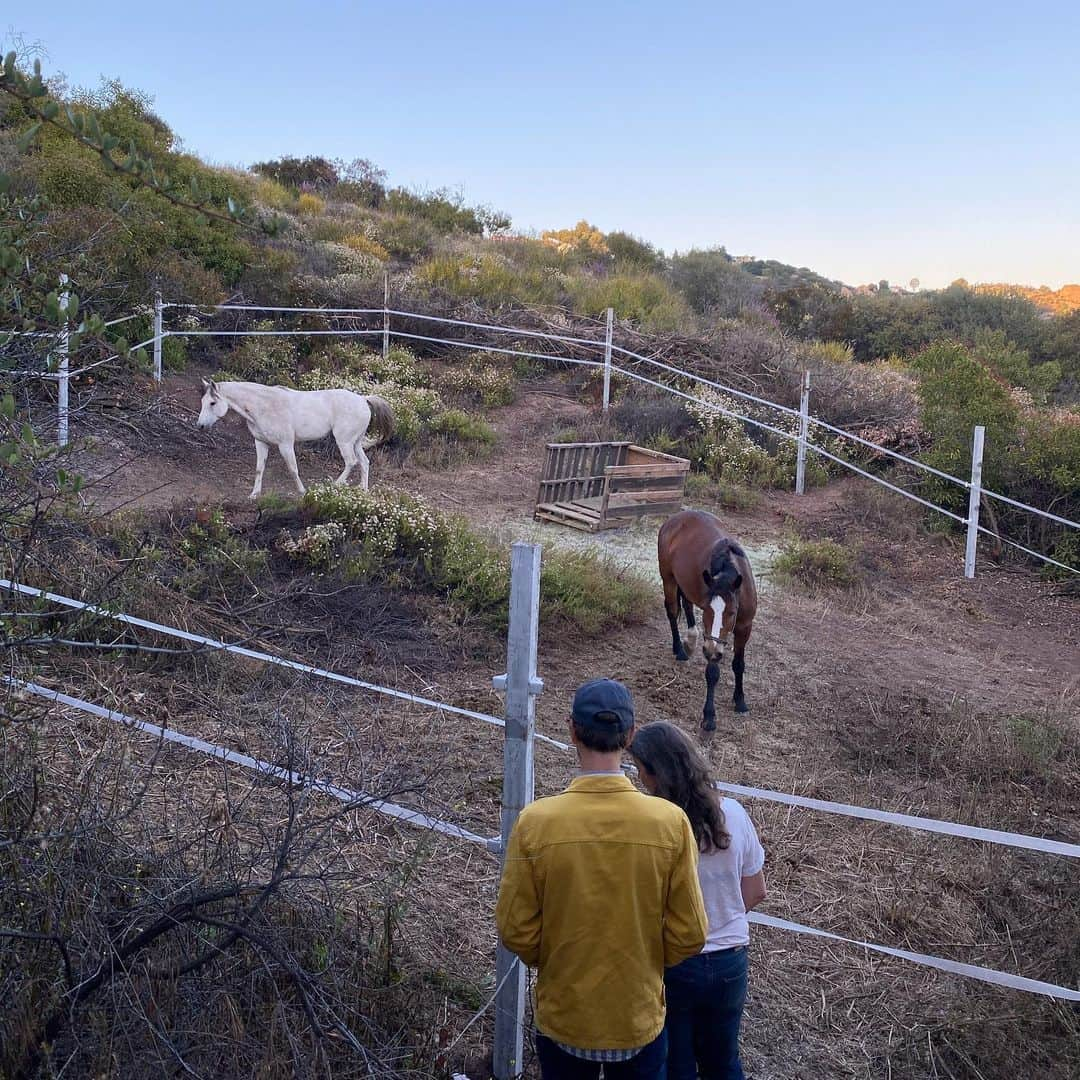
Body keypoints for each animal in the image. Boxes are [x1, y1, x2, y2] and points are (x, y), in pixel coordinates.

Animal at [196, 380, 395, 496]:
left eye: (212, 402)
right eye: (203, 402)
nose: (200, 426)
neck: (264, 405)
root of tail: (363, 399)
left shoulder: (285, 444)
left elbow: (293, 469)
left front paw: (302, 491)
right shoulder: (261, 443)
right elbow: (259, 469)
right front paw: (254, 494)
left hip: (344, 441)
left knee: (351, 462)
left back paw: (334, 486)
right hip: (356, 442)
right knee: (364, 462)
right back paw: (363, 490)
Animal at [652, 509, 756, 730]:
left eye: (732, 612)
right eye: (708, 611)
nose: (710, 649)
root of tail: (675, 519)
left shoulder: (744, 627)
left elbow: (739, 664)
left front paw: (740, 700)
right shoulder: (712, 643)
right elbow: (712, 673)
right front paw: (709, 717)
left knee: (687, 605)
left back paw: (690, 641)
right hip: (668, 578)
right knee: (672, 611)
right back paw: (680, 649)